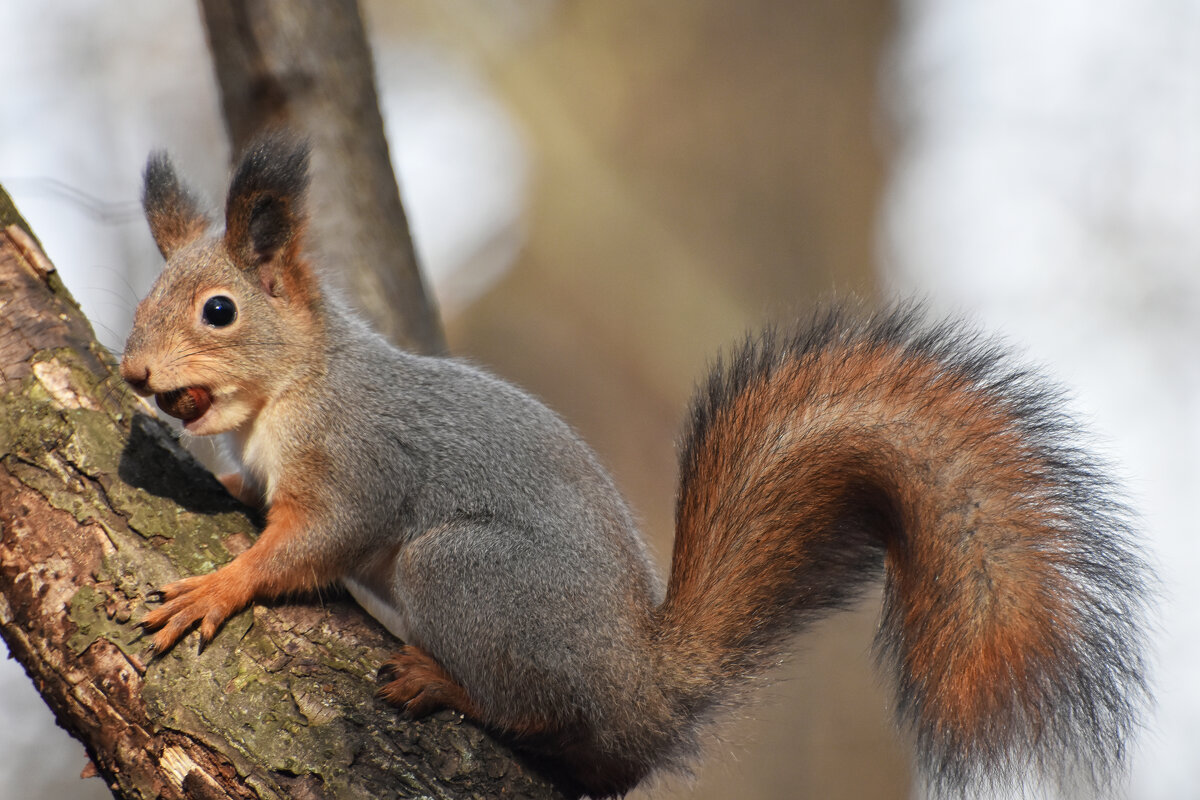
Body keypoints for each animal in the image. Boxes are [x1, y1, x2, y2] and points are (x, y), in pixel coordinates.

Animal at [121, 134, 1152, 796]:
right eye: (143, 299)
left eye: (219, 311)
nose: (133, 374)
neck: (291, 388)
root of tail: (642, 686)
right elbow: (254, 495)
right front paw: (215, 482)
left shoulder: (360, 454)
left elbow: (315, 541)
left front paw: (217, 586)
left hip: (463, 574)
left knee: (539, 713)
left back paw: (445, 684)